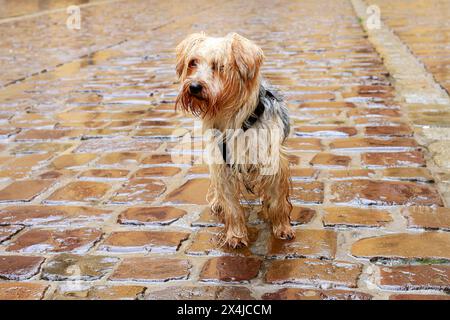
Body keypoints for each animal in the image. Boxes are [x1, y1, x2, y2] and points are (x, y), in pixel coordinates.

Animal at [174, 32, 294, 248]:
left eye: (219, 66)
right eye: (193, 63)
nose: (194, 86)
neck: (233, 119)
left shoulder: (272, 162)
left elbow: (277, 200)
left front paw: (282, 227)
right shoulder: (222, 166)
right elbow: (231, 205)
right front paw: (236, 236)